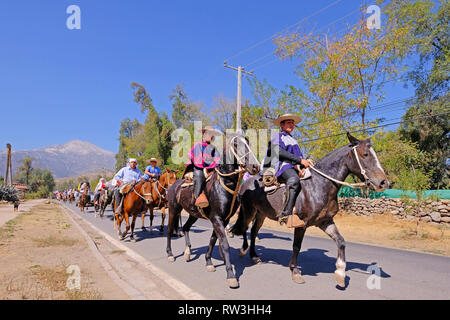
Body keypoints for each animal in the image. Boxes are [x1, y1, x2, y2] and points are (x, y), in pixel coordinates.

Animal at [165, 132, 258, 288]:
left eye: (248, 143)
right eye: (236, 144)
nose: (255, 166)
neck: (225, 183)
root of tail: (174, 185)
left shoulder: (224, 219)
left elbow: (214, 240)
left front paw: (208, 261)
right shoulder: (217, 218)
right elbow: (224, 244)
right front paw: (231, 275)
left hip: (193, 214)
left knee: (186, 227)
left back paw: (188, 252)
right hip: (173, 210)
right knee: (169, 230)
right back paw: (170, 254)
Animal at [230, 132, 388, 288]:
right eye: (365, 154)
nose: (383, 182)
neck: (319, 185)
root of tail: (246, 183)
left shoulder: (325, 221)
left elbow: (341, 242)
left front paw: (340, 274)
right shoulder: (302, 224)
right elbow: (296, 246)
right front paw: (295, 271)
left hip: (261, 214)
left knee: (254, 231)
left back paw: (254, 256)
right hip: (249, 211)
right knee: (244, 227)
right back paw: (243, 250)